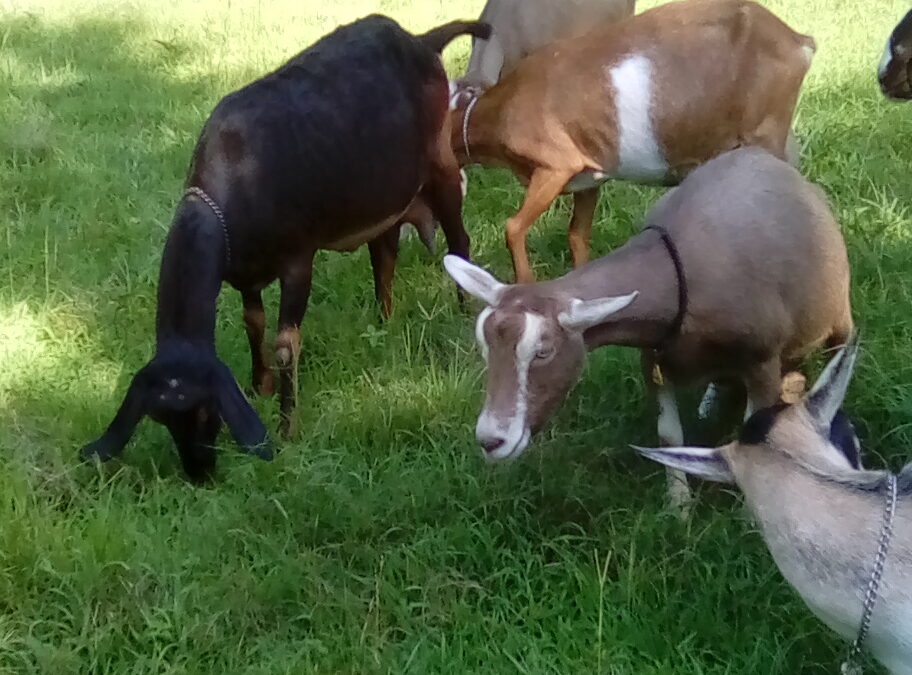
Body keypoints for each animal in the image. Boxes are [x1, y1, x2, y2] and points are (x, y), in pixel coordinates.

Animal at [81, 15, 488, 480]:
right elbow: (252, 322)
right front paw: (261, 385)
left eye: (206, 411)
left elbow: (285, 344)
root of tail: (420, 40)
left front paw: (287, 426)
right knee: (384, 255)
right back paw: (383, 323)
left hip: (441, 165)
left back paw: (463, 314)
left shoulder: (297, 261)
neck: (238, 173)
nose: (201, 474)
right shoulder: (244, 272)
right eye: (163, 420)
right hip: (384, 200)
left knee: (458, 241)